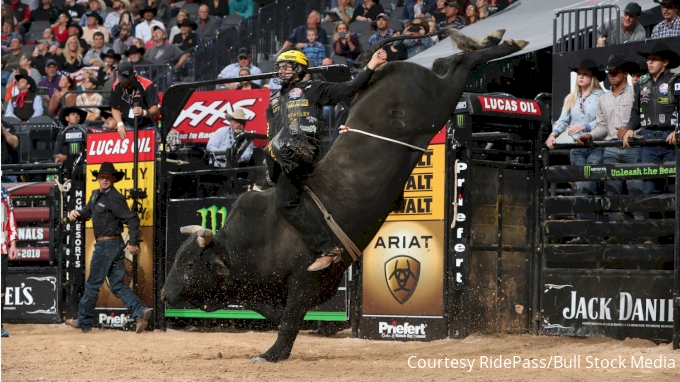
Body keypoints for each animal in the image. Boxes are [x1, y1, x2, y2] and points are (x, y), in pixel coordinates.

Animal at [162, 28, 528, 362]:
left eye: (188, 263)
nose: (165, 295)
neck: (251, 242)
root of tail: (389, 71)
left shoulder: (305, 282)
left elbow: (289, 320)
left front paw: (271, 354)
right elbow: (282, 318)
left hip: (439, 101)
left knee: (460, 65)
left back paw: (508, 42)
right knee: (447, 61)